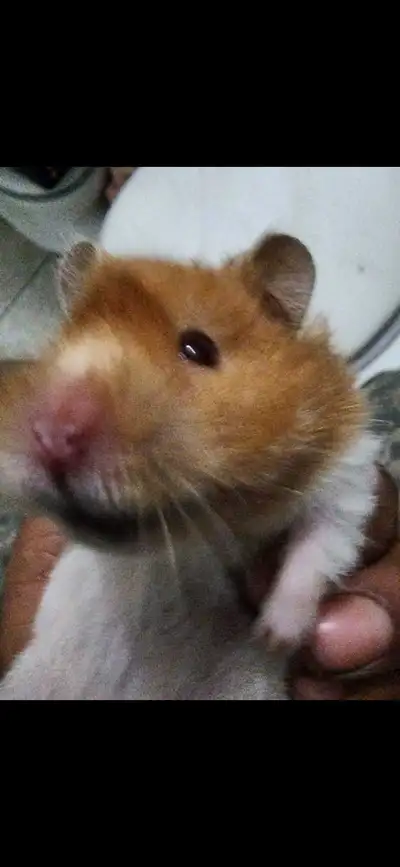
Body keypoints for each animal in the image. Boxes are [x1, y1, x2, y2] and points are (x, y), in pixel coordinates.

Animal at [0, 233, 378, 699]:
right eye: (57, 350)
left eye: (198, 348)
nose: (52, 436)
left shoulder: (347, 473)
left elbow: (320, 546)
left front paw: (274, 636)